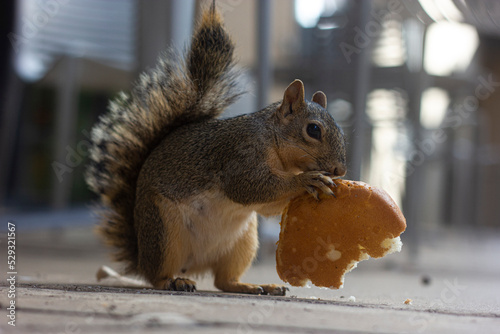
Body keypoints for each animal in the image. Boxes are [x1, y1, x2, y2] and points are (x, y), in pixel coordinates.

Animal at [86, 3, 346, 296]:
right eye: (313, 130)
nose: (340, 169)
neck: (276, 147)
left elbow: (268, 205)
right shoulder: (240, 154)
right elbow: (249, 186)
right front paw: (306, 180)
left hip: (243, 243)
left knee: (224, 280)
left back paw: (254, 286)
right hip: (164, 231)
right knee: (156, 275)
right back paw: (174, 281)